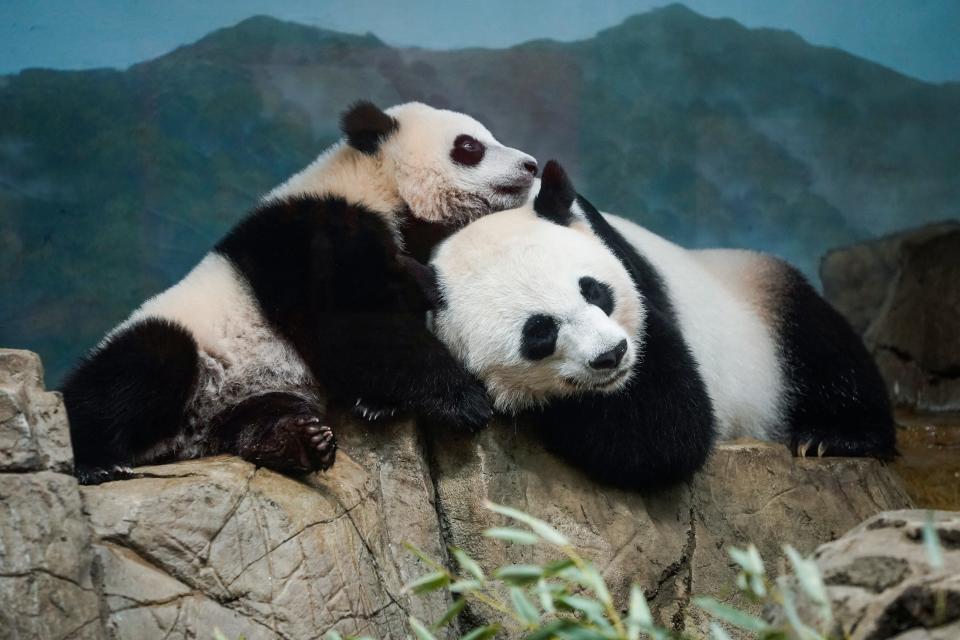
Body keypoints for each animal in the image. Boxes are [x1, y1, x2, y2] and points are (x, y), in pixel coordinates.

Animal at [62, 102, 536, 484]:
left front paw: (376, 404)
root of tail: (181, 441)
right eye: (469, 146)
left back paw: (300, 442)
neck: (377, 184)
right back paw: (98, 461)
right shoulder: (315, 235)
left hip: (249, 398)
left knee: (259, 419)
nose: (530, 165)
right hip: (183, 340)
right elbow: (357, 327)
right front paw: (466, 401)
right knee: (138, 370)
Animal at [426, 161, 892, 490]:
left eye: (595, 291)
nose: (611, 356)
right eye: (539, 333)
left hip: (763, 303)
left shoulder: (632, 278)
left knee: (826, 350)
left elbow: (665, 425)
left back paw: (832, 437)